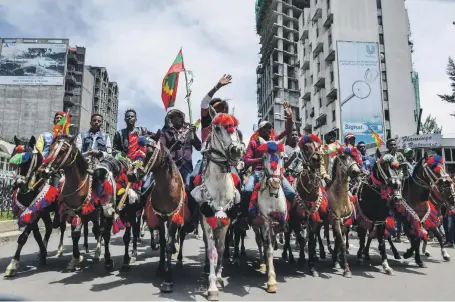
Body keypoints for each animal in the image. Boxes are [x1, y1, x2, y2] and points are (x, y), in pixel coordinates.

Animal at [4, 136, 57, 278]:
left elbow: (23, 237)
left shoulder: (36, 212)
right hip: (46, 213)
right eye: (13, 158)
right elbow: (36, 235)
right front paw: (42, 254)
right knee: (49, 228)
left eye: (27, 160)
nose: (18, 183)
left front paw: (12, 265)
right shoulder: (33, 211)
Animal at [37, 136, 115, 270]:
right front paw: (75, 258)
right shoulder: (72, 211)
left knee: (100, 230)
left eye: (62, 151)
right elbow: (75, 234)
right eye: (50, 148)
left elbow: (83, 232)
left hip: (101, 211)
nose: (43, 171)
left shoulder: (86, 211)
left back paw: (97, 254)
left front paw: (79, 257)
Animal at [191, 109, 244, 302]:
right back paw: (207, 267)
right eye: (217, 127)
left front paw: (220, 277)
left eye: (236, 128)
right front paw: (212, 286)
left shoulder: (225, 220)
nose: (236, 151)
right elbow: (211, 250)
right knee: (208, 245)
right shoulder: (207, 220)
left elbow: (220, 249)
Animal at [328, 146, 364, 278]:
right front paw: (346, 269)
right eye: (343, 157)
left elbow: (340, 241)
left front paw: (339, 262)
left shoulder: (345, 224)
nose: (356, 172)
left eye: (354, 157)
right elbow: (341, 243)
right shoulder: (336, 222)